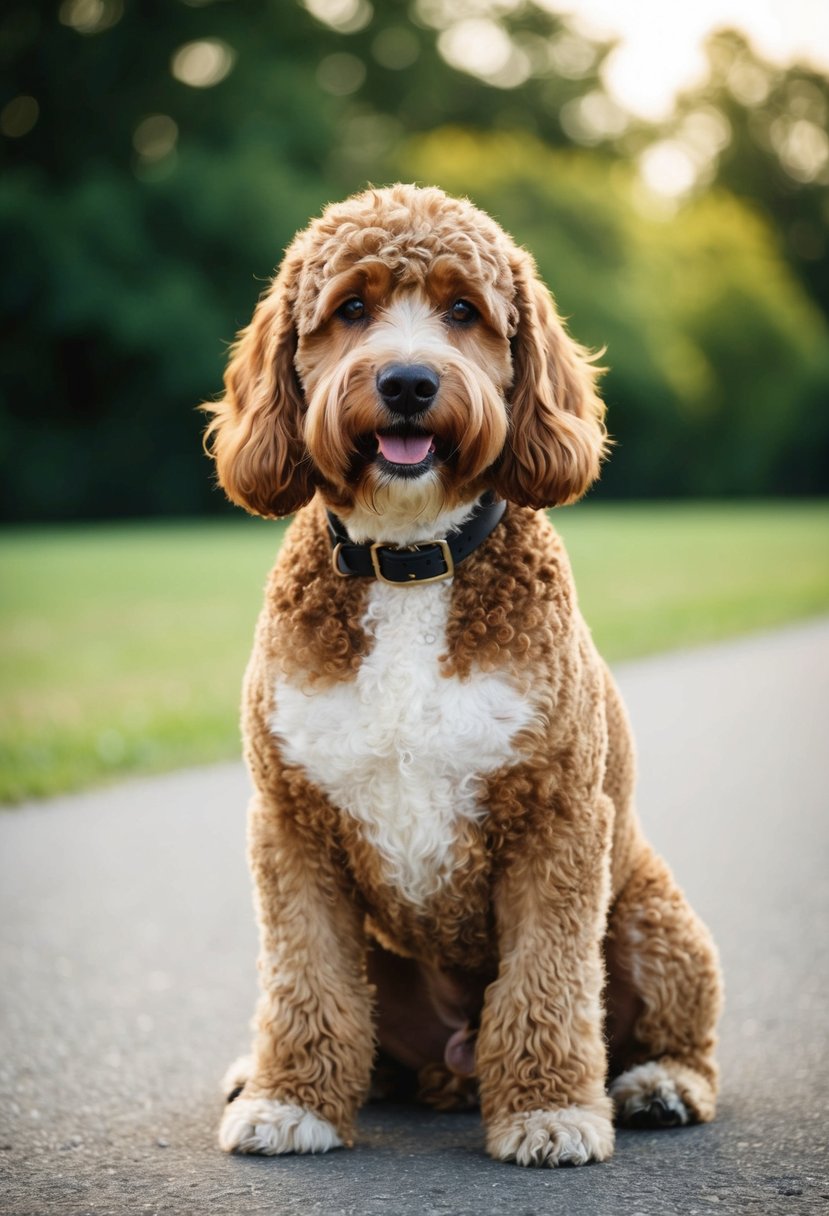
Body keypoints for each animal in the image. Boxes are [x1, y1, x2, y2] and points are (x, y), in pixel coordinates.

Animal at [202, 182, 719, 1167]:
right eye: (351, 309)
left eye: (462, 312)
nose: (408, 382)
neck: (409, 562)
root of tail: (452, 1067)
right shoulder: (291, 826)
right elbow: (305, 980)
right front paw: (292, 1101)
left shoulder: (557, 821)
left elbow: (547, 985)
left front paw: (550, 1110)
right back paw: (269, 1072)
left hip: (651, 919)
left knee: (679, 1031)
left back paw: (659, 1084)